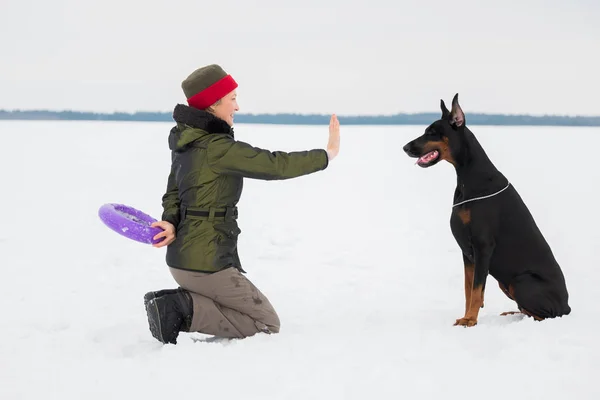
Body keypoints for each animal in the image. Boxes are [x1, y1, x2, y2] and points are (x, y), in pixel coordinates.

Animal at [404, 95, 572, 326]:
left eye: (432, 132)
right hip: (506, 283)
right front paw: (466, 316)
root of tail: (567, 305)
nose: (405, 147)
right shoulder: (467, 253)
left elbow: (477, 290)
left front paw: (470, 321)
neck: (468, 177)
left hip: (521, 280)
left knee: (546, 315)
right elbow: (468, 290)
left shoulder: (483, 246)